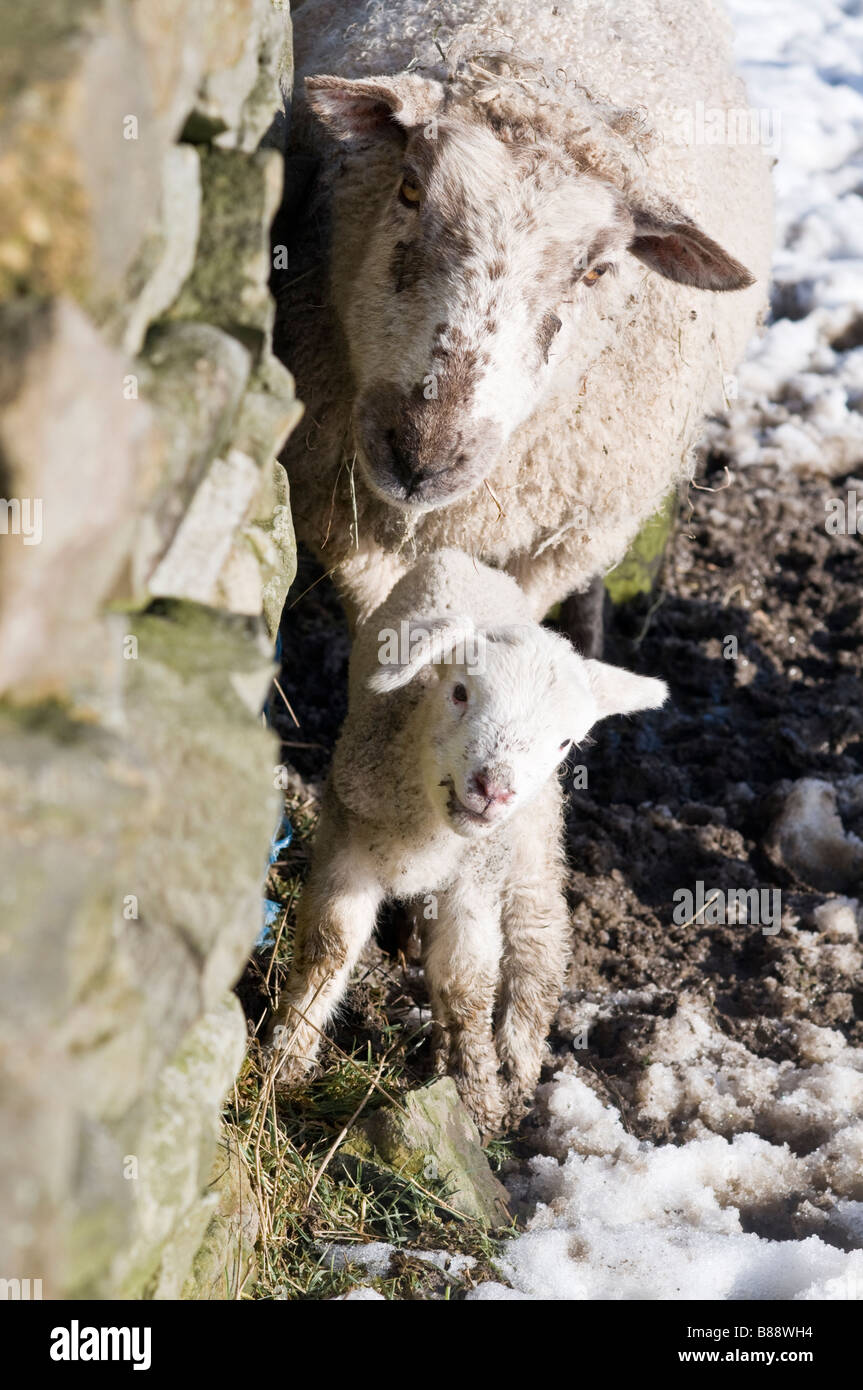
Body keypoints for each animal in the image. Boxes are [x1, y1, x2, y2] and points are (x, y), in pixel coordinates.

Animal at [267, 549, 668, 1135]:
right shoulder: (346, 847)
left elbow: (465, 982)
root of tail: (463, 559)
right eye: (459, 692)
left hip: (532, 843)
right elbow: (329, 946)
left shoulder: (473, 881)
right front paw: (285, 1057)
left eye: (566, 741)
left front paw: (479, 1097)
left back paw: (518, 1064)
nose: (492, 789)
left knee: (538, 942)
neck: (427, 828)